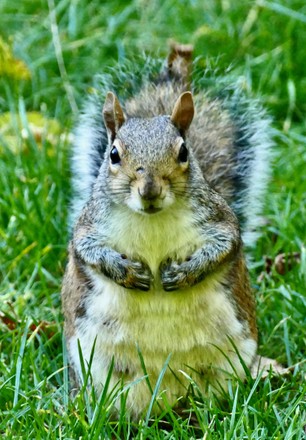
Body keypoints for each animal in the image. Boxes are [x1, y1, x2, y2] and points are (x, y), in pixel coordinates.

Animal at [61, 42, 272, 420]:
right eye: (113, 154)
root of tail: (166, 403)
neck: (151, 220)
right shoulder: (89, 225)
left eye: (184, 151)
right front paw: (126, 272)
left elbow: (225, 244)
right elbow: (88, 250)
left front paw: (186, 273)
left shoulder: (218, 219)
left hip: (227, 366)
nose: (150, 190)